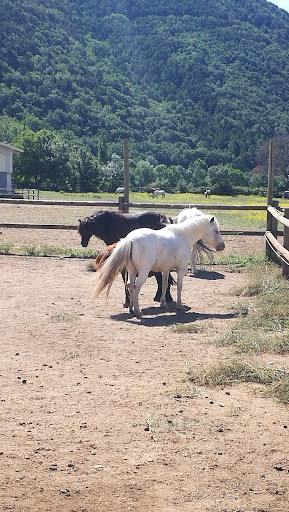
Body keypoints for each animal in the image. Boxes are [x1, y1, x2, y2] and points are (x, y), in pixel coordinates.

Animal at [93, 214, 224, 318]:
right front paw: (179, 305)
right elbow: (179, 286)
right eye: (216, 231)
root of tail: (130, 240)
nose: (222, 246)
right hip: (143, 272)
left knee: (129, 285)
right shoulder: (181, 269)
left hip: (132, 271)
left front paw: (163, 304)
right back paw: (138, 311)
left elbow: (164, 285)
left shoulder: (166, 270)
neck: (183, 236)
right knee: (136, 287)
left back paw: (131, 309)